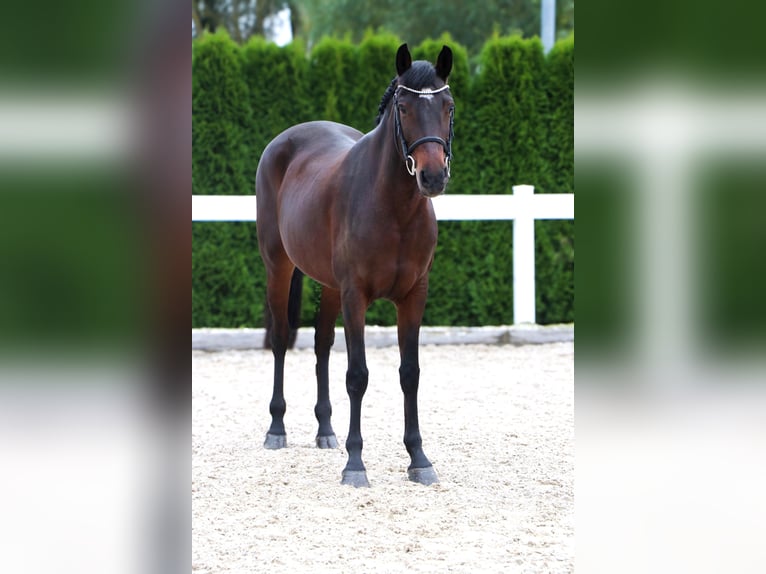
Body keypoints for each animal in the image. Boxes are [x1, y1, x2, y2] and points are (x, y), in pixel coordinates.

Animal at [255, 42, 452, 488]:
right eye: (403, 107)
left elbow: (410, 373)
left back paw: (326, 430)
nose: (432, 177)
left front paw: (419, 458)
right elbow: (358, 376)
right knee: (281, 338)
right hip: (279, 266)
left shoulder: (414, 296)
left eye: (448, 106)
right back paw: (277, 428)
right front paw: (355, 463)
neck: (394, 209)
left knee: (322, 344)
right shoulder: (355, 296)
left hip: (328, 286)